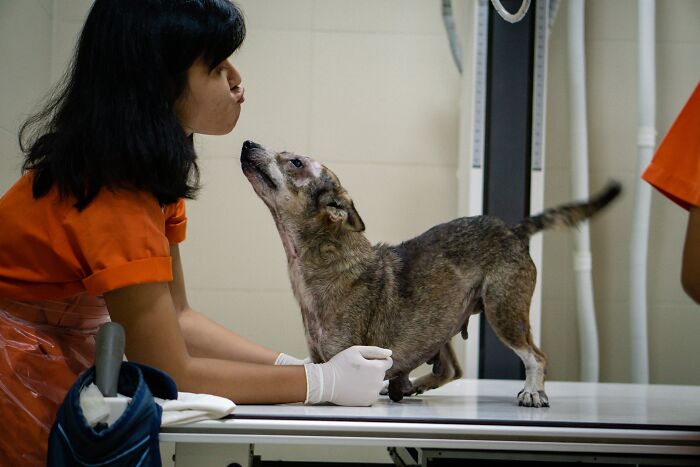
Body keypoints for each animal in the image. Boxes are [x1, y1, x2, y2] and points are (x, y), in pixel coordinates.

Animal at [239, 141, 616, 408]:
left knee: (536, 356)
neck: (324, 257)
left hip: (504, 312)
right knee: (452, 368)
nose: (246, 142)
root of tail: (514, 229)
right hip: (441, 319)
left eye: (296, 162)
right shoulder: (319, 359)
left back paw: (532, 391)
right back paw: (410, 385)